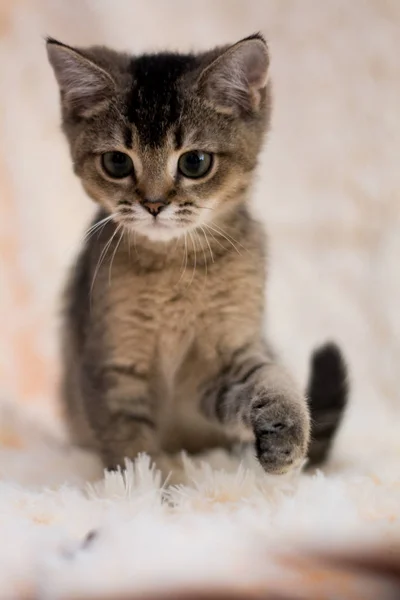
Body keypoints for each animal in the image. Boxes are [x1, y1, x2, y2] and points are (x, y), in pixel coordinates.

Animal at [46, 34, 346, 482]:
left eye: (194, 162)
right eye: (117, 162)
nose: (153, 204)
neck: (173, 270)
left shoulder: (223, 359)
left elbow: (270, 376)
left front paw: (286, 430)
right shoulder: (111, 364)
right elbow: (131, 446)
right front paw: (155, 487)